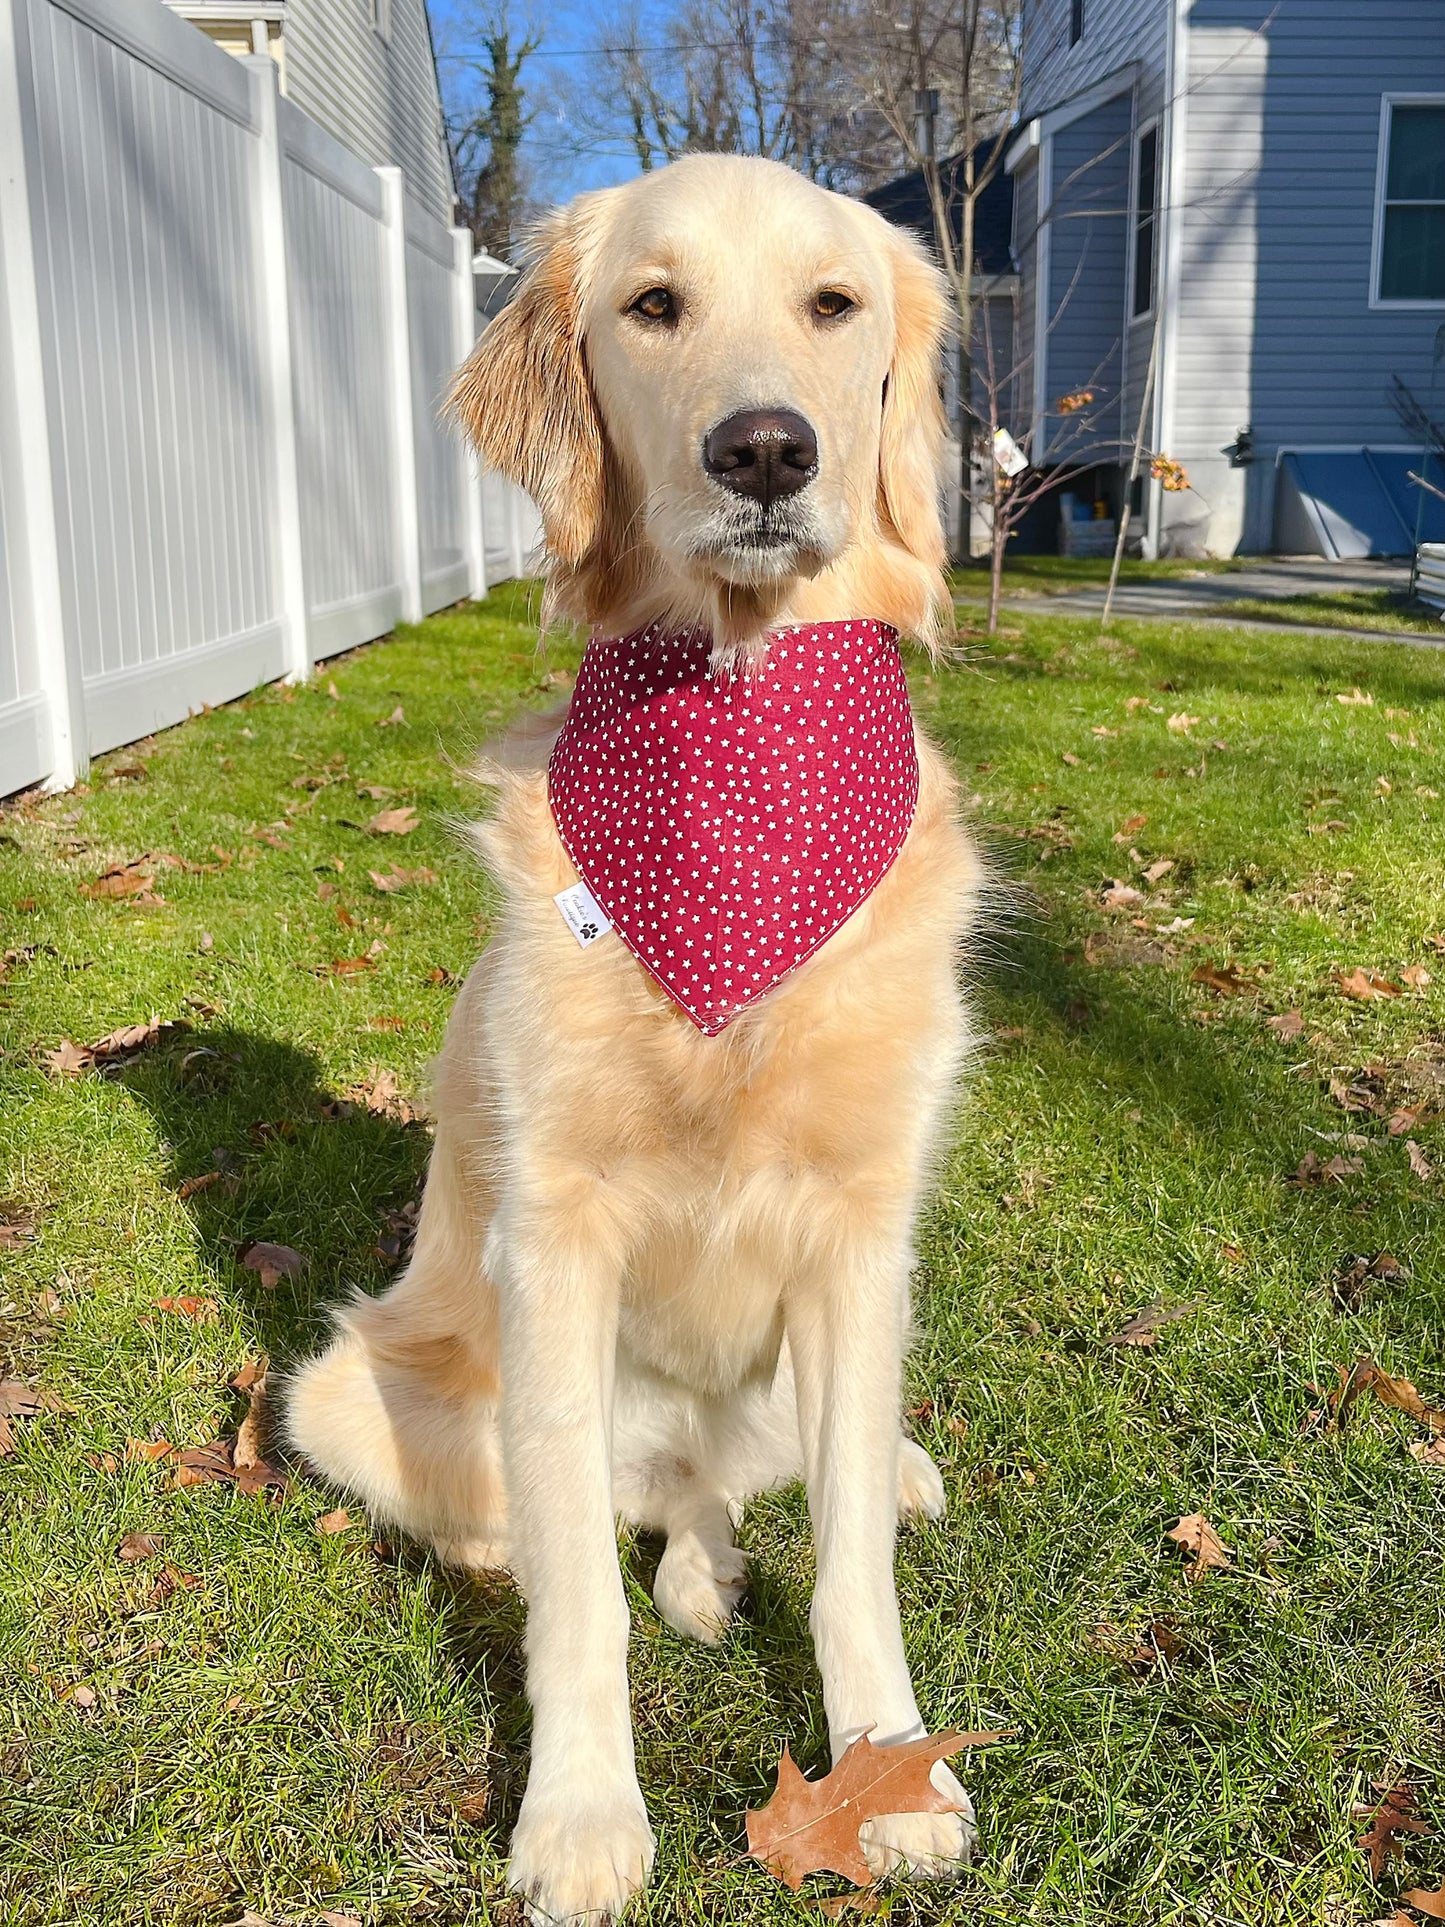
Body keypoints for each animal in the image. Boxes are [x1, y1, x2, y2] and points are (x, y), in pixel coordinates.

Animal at [285, 154, 986, 1927]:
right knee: (599, 1517)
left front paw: (890, 1766)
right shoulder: (555, 1238)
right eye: (653, 306)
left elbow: (855, 1559)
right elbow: (573, 1605)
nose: (766, 451)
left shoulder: (862, 1234)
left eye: (834, 304)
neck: (733, 734)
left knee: (778, 1477)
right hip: (347, 1395)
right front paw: (582, 1812)